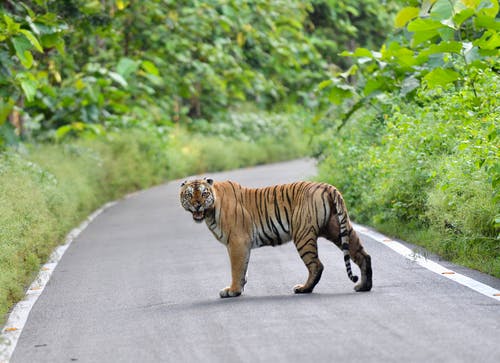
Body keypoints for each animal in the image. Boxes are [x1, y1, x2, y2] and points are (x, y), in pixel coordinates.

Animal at [180, 179, 372, 298]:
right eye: (189, 195)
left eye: (204, 194)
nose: (197, 204)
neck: (210, 211)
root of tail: (327, 186)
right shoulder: (242, 245)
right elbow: (243, 268)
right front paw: (239, 288)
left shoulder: (237, 242)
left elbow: (236, 268)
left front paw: (233, 290)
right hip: (337, 229)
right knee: (363, 255)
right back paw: (364, 286)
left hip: (303, 235)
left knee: (317, 265)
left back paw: (303, 289)